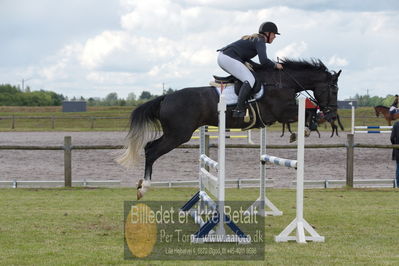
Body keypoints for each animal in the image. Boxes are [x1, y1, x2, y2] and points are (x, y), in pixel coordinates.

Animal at [118, 59, 340, 198]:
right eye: (333, 89)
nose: (331, 114)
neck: (282, 82)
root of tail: (165, 97)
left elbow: (309, 113)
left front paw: (303, 130)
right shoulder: (281, 113)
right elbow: (308, 113)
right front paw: (305, 130)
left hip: (175, 134)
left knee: (150, 147)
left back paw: (141, 185)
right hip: (178, 135)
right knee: (151, 150)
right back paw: (144, 187)